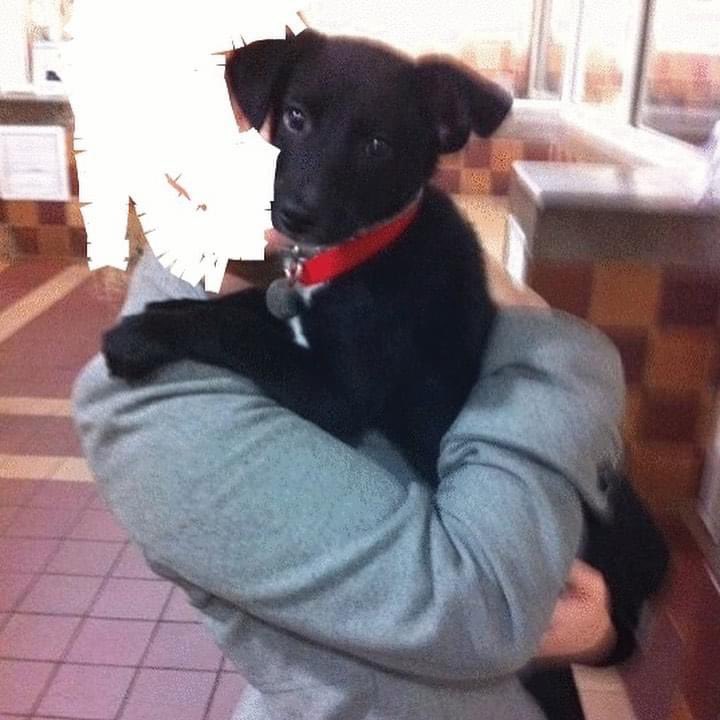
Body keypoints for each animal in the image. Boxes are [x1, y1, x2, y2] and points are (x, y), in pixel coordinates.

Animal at [104, 31, 668, 720]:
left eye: (377, 146)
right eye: (296, 117)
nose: (295, 213)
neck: (360, 252)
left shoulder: (337, 392)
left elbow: (242, 329)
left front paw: (141, 335)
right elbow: (247, 310)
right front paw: (170, 309)